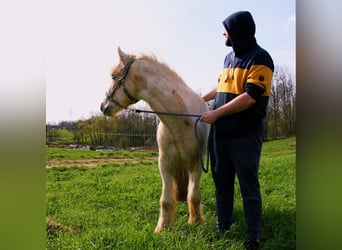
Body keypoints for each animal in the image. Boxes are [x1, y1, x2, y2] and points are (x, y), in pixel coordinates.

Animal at [100, 47, 210, 232]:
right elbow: (166, 200)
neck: (180, 121)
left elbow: (194, 195)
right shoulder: (164, 164)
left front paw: (196, 221)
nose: (103, 106)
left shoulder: (196, 163)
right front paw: (163, 228)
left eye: (114, 76)